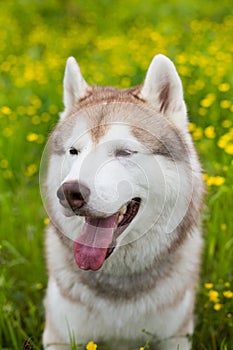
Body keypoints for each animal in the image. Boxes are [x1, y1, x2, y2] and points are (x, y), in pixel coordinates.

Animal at [41, 52, 204, 350]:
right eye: (74, 151)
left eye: (124, 152)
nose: (69, 193)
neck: (119, 287)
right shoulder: (59, 337)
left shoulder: (175, 337)